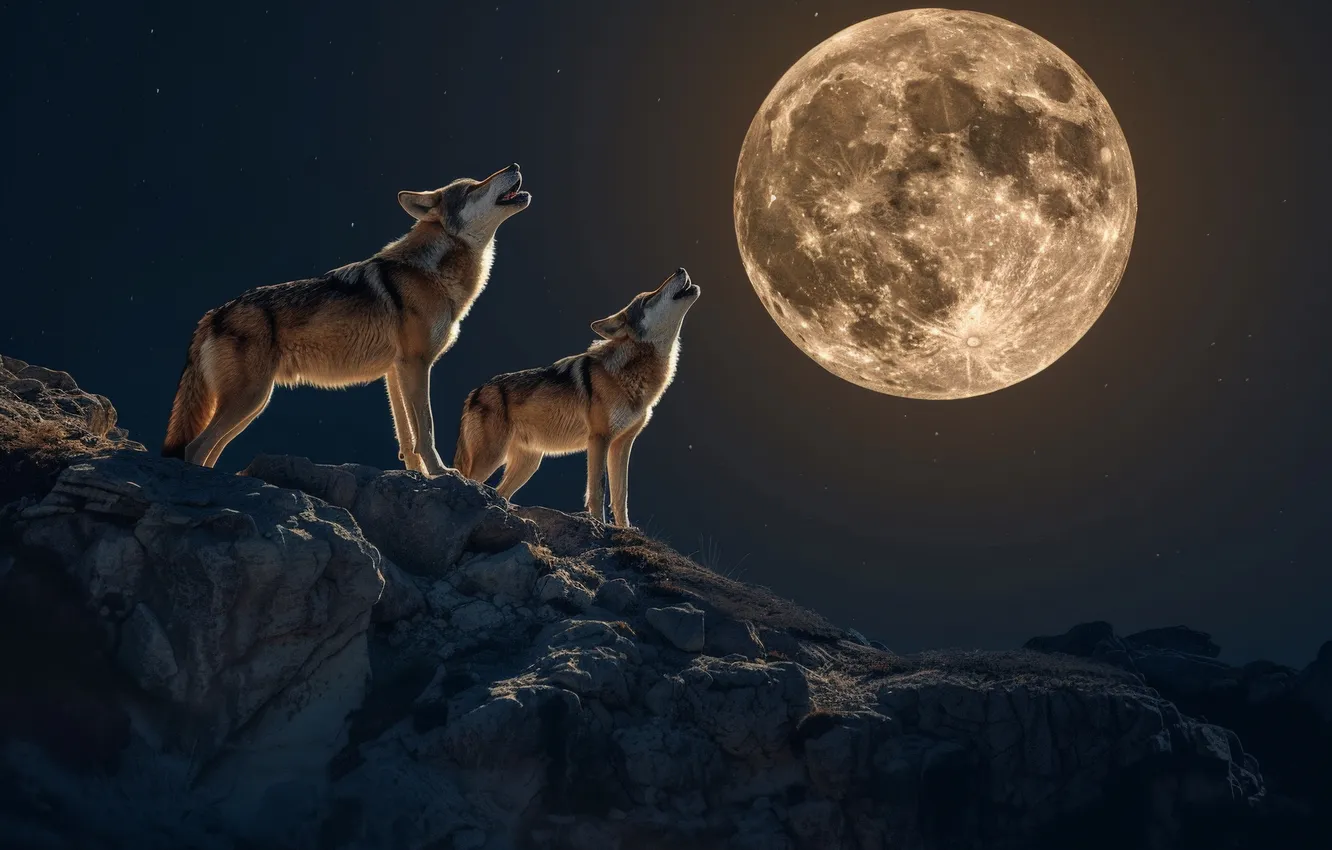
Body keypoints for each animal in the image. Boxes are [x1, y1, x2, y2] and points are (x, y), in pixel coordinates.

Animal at [162, 164, 531, 473]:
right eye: (473, 187)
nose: (513, 165)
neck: (433, 272)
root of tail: (212, 314)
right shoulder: (416, 364)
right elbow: (425, 430)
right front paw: (440, 473)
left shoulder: (395, 373)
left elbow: (407, 437)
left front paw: (418, 476)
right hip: (250, 399)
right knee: (194, 448)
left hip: (253, 403)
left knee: (208, 450)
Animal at [454, 268, 700, 526]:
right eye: (648, 298)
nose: (680, 270)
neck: (630, 374)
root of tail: (474, 393)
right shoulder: (599, 439)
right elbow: (598, 490)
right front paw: (600, 525)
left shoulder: (622, 444)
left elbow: (621, 496)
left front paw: (624, 529)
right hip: (492, 457)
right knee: (469, 481)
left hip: (528, 465)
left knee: (499, 492)